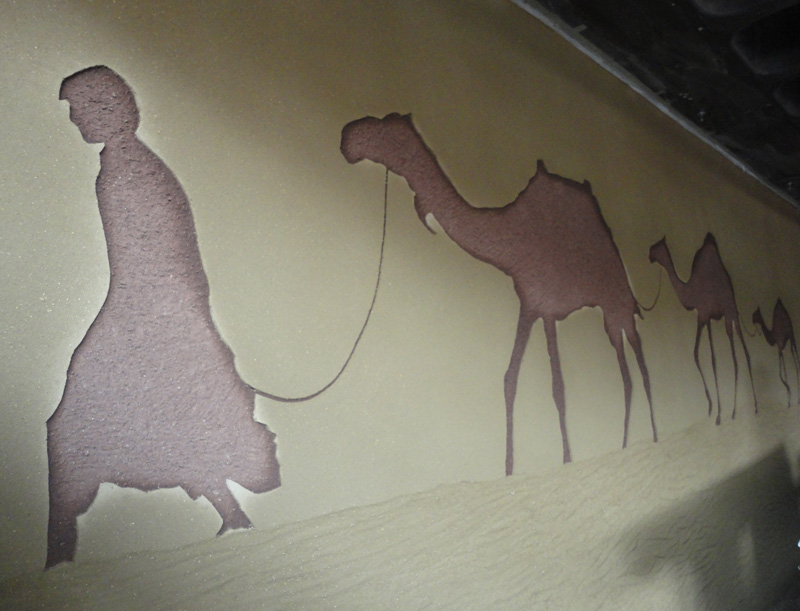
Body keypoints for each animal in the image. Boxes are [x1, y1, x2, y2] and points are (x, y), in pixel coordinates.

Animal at [340, 113, 656, 474]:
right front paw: (508, 470)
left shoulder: (547, 305)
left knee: (640, 369)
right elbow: (510, 379)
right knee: (628, 375)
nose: (348, 138)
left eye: (386, 127)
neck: (510, 234)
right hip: (610, 314)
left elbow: (558, 387)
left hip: (618, 305)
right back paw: (628, 444)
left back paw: (646, 439)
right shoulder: (530, 303)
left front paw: (565, 461)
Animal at [649, 233, 758, 423]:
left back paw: (738, 410)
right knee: (742, 351)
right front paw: (710, 406)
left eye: (657, 246)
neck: (691, 290)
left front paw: (719, 414)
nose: (649, 255)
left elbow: (713, 359)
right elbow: (696, 353)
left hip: (730, 311)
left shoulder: (705, 315)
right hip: (730, 316)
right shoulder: (702, 318)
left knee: (737, 355)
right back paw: (750, 406)